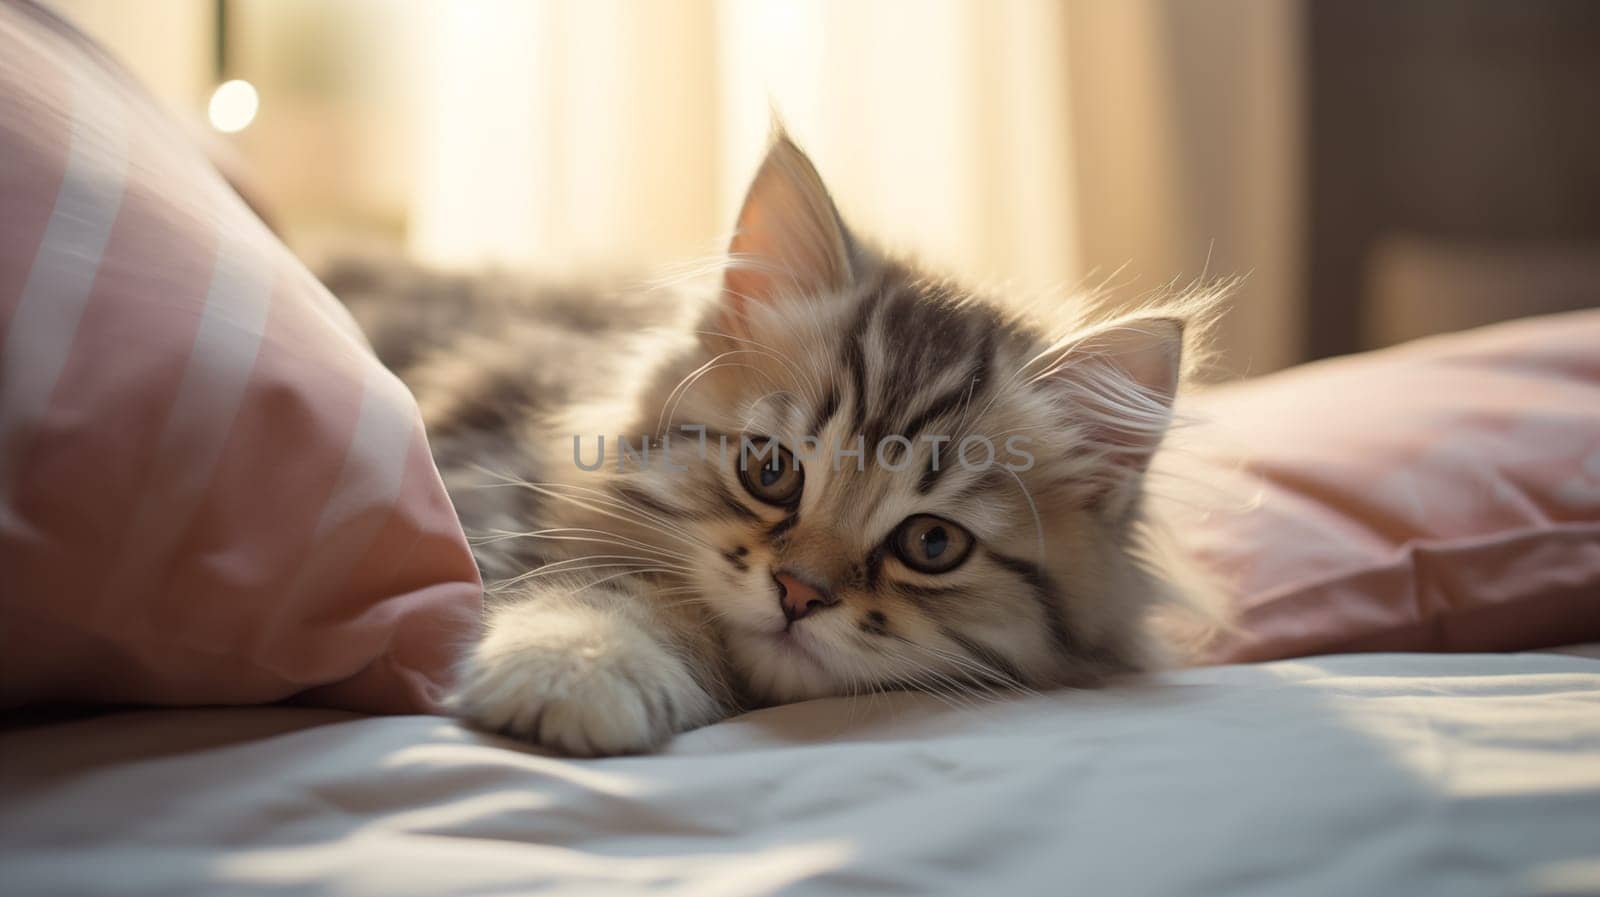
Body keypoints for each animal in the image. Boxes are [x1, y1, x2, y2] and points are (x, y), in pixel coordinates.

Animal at [331, 136, 1216, 751]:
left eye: (932, 544)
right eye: (770, 471)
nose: (799, 592)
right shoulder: (482, 473)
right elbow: (626, 582)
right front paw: (574, 669)